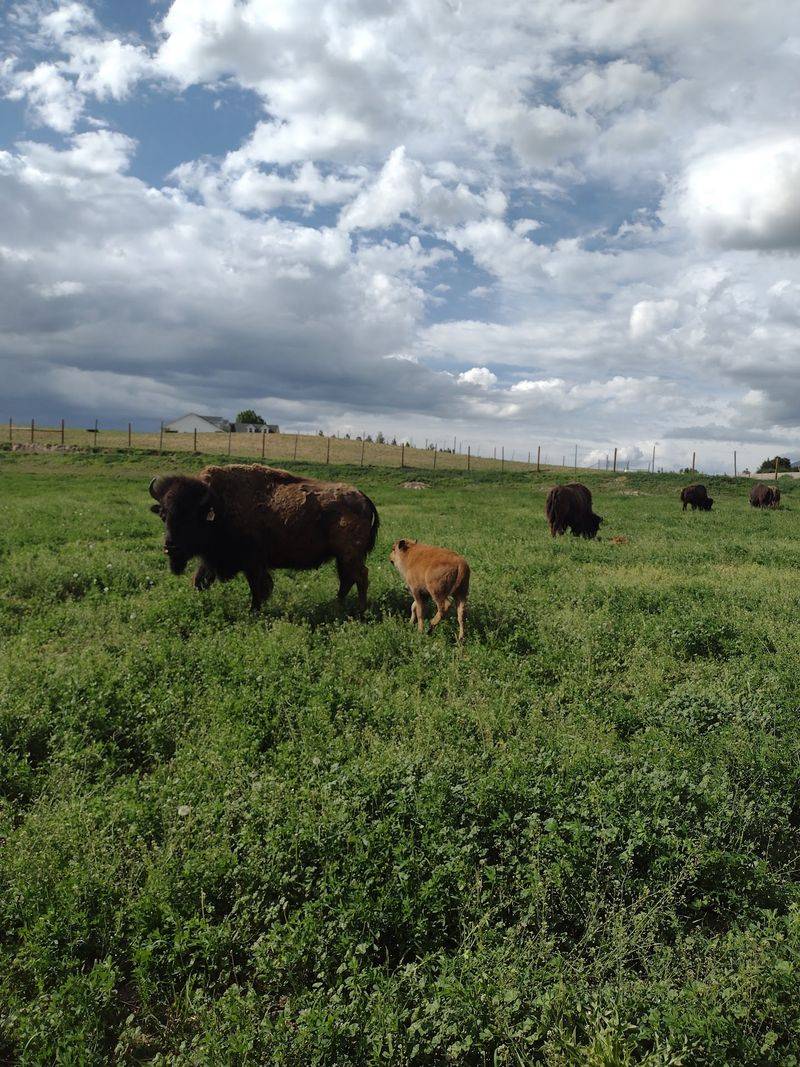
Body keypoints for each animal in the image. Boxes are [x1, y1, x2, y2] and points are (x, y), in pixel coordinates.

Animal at [149, 464, 379, 612]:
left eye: (190, 516)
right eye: (163, 515)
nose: (170, 547)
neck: (218, 507)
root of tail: (363, 497)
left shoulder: (253, 563)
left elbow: (257, 587)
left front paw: (254, 611)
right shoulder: (212, 560)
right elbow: (199, 581)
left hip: (350, 555)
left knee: (360, 577)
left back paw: (360, 610)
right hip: (342, 557)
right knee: (347, 579)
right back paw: (337, 605)